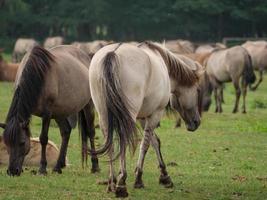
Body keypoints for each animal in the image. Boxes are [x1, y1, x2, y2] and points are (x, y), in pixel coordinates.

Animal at [0, 45, 99, 175]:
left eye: (22, 142)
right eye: (7, 143)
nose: (12, 171)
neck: (37, 76)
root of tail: (87, 57)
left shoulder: (47, 113)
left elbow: (43, 138)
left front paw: (42, 168)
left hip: (88, 105)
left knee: (91, 132)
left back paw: (95, 166)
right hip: (60, 112)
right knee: (66, 131)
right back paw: (58, 166)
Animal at [88, 41, 203, 197]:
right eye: (197, 90)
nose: (197, 122)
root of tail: (113, 53)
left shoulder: (143, 117)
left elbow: (155, 142)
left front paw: (164, 176)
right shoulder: (155, 114)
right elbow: (146, 144)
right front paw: (138, 178)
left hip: (103, 114)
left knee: (110, 142)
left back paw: (112, 182)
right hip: (128, 116)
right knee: (123, 141)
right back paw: (121, 183)